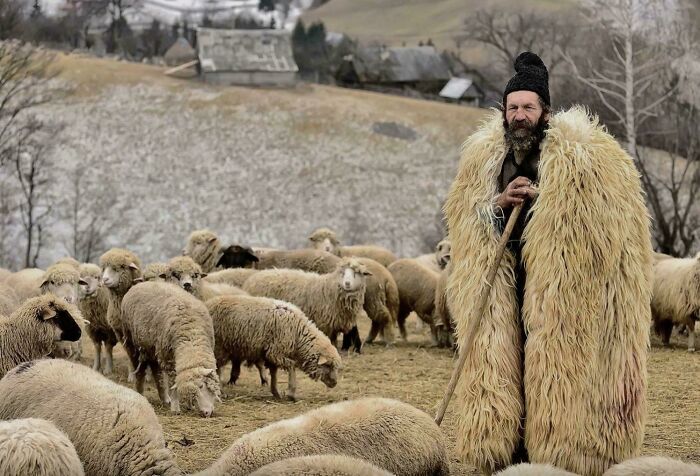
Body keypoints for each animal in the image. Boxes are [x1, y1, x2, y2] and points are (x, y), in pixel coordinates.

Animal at [121, 281, 221, 416]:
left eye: (201, 386)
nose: (205, 413)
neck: (191, 334)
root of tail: (141, 283)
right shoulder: (169, 359)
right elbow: (174, 383)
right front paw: (175, 407)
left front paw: (189, 405)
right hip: (134, 344)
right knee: (140, 370)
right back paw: (140, 393)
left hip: (152, 348)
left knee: (156, 372)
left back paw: (164, 397)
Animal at [207, 294, 342, 401]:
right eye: (328, 365)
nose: (335, 383)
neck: (298, 334)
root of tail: (208, 303)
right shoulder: (276, 351)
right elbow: (292, 366)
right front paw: (291, 393)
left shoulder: (271, 354)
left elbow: (274, 373)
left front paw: (275, 392)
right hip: (219, 346)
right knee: (217, 368)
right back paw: (221, 391)